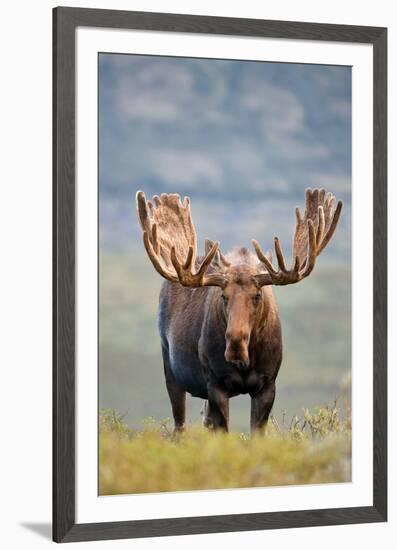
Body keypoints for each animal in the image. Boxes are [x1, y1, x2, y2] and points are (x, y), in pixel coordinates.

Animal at [136, 190, 340, 436]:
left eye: (258, 295)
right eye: (223, 296)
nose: (235, 343)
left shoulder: (267, 384)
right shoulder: (215, 384)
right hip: (170, 365)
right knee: (180, 425)